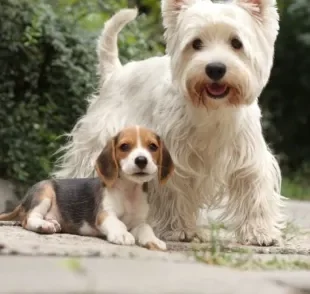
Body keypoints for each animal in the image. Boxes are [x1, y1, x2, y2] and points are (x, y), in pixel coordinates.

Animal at [0, 126, 174, 250]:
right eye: (124, 146)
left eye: (153, 146)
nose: (141, 160)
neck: (129, 190)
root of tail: (23, 202)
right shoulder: (104, 214)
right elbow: (117, 223)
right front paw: (122, 234)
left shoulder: (138, 222)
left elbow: (146, 228)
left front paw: (154, 240)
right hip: (44, 191)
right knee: (28, 218)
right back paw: (43, 225)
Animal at [53, 0, 286, 246]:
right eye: (196, 43)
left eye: (236, 43)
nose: (215, 68)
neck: (212, 112)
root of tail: (116, 73)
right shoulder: (175, 156)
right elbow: (174, 192)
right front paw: (179, 229)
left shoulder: (248, 158)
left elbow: (254, 191)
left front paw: (260, 232)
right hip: (96, 141)